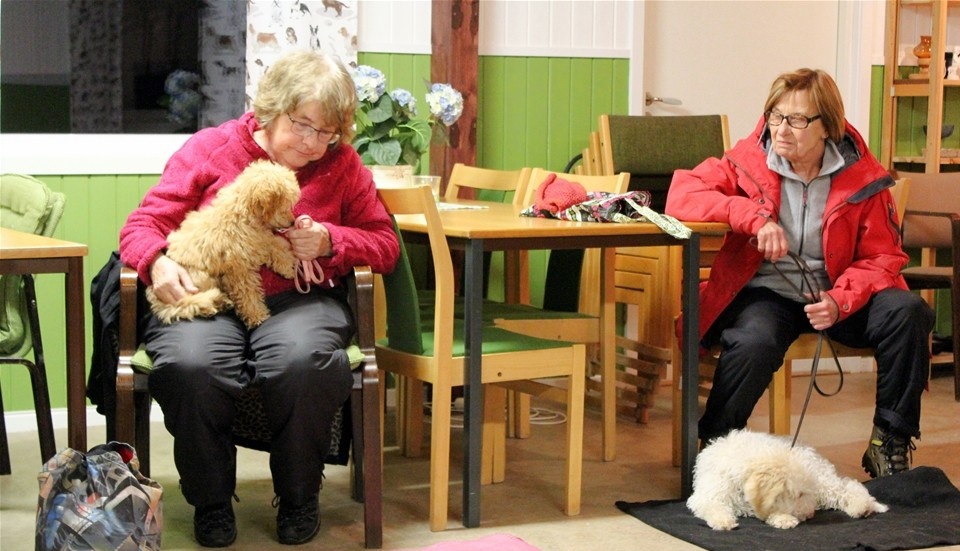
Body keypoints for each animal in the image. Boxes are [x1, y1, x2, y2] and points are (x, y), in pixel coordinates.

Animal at [146, 158, 300, 328]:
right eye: (285, 205)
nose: (293, 222)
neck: (244, 214)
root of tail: (156, 297)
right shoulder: (239, 269)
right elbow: (248, 294)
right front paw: (257, 315)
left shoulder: (259, 241)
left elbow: (275, 245)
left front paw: (288, 268)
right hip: (201, 278)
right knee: (187, 305)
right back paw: (213, 304)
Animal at [688, 432, 888, 532]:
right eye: (797, 494)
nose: (810, 515)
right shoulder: (707, 495)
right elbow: (712, 506)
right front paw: (723, 521)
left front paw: (783, 519)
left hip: (823, 482)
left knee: (848, 487)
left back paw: (863, 506)